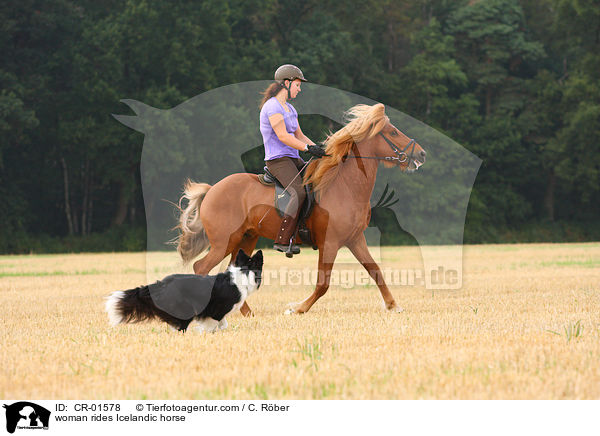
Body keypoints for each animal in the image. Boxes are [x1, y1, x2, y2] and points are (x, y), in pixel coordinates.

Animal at [106, 250, 262, 332]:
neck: (244, 273)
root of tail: (161, 284)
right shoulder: (217, 310)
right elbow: (214, 324)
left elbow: (223, 324)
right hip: (185, 309)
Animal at [176, 104, 424, 316]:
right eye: (393, 132)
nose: (421, 154)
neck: (344, 185)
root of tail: (212, 190)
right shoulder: (329, 242)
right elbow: (323, 284)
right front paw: (297, 308)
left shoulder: (355, 239)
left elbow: (375, 270)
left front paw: (393, 305)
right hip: (224, 241)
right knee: (201, 267)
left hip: (246, 238)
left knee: (233, 272)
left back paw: (247, 312)